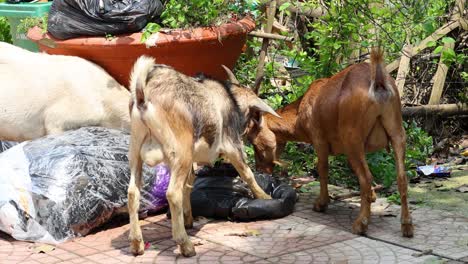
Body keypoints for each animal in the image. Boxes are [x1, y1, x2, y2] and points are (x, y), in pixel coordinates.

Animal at [128, 55, 280, 256]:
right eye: (252, 114)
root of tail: (143, 96)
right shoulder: (231, 145)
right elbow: (247, 173)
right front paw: (264, 197)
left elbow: (189, 184)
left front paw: (188, 219)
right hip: (181, 152)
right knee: (172, 194)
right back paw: (185, 245)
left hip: (136, 152)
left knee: (133, 192)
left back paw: (137, 243)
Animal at [245, 48, 414, 237]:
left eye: (253, 141)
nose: (260, 170)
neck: (300, 111)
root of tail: (378, 82)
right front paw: (371, 196)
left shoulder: (319, 140)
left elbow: (323, 169)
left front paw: (321, 203)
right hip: (397, 132)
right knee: (401, 177)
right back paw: (407, 226)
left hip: (352, 138)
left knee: (366, 177)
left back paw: (361, 223)